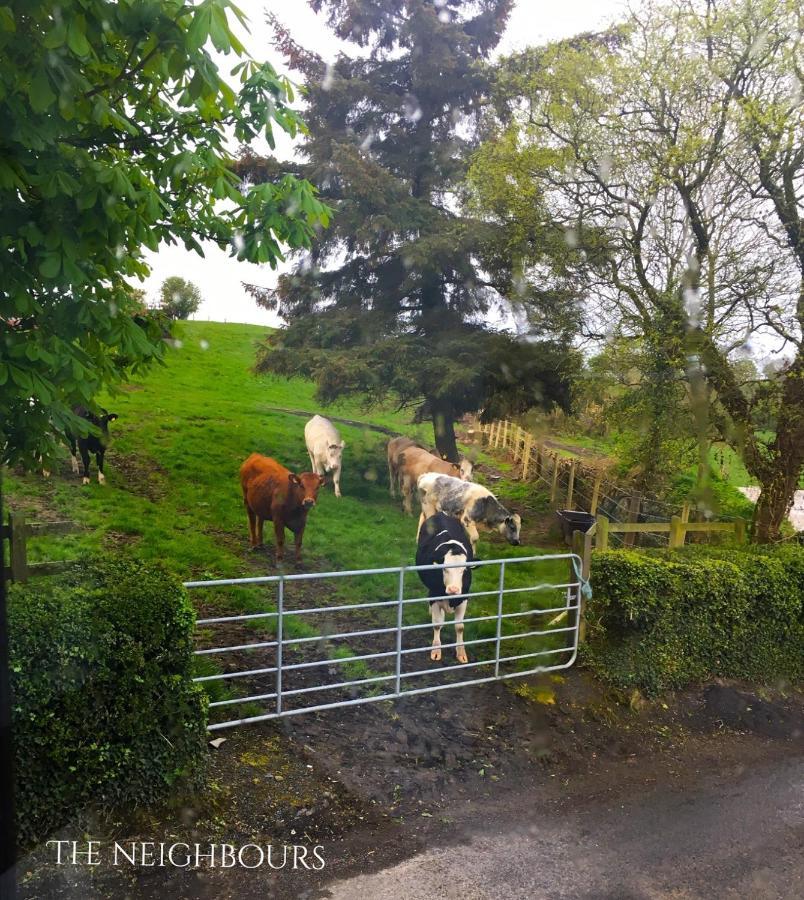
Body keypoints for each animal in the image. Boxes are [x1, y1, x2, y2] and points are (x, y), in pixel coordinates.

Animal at [418, 512, 474, 660]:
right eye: (444, 568)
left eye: (464, 570)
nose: (453, 589)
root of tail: (441, 513)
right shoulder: (434, 595)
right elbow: (437, 625)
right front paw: (436, 650)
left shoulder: (463, 597)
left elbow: (459, 627)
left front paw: (461, 652)